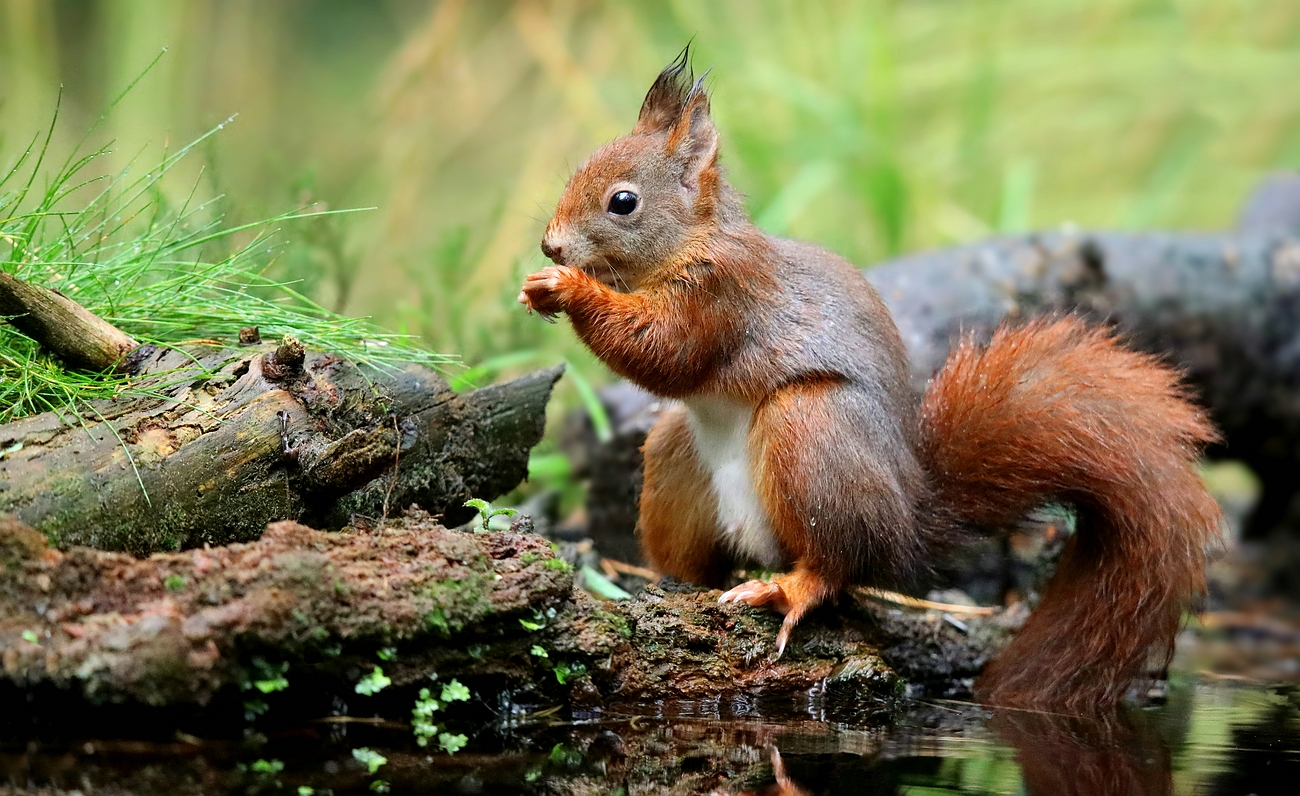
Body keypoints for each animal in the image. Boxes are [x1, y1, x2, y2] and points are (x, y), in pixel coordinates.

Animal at [514, 49, 1216, 712]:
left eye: (623, 202)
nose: (550, 246)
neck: (692, 240)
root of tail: (906, 520)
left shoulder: (722, 296)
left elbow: (666, 352)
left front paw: (568, 288)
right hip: (676, 457)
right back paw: (667, 587)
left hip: (812, 430)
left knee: (836, 568)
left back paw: (786, 589)